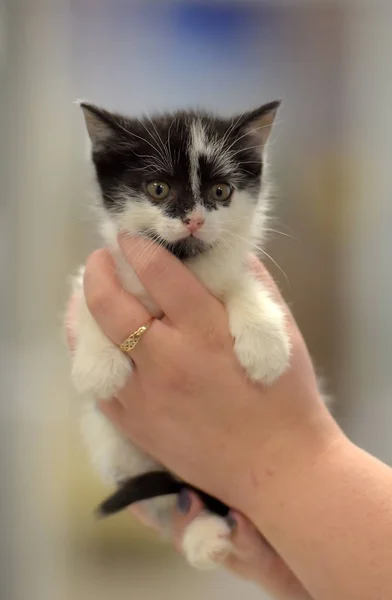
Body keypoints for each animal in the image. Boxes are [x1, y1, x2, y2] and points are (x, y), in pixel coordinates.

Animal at [71, 101, 290, 568]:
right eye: (158, 189)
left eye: (221, 192)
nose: (194, 220)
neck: (184, 263)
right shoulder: (105, 268)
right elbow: (85, 297)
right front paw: (98, 366)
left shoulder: (229, 265)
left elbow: (242, 282)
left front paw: (266, 345)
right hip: (117, 448)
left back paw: (204, 533)